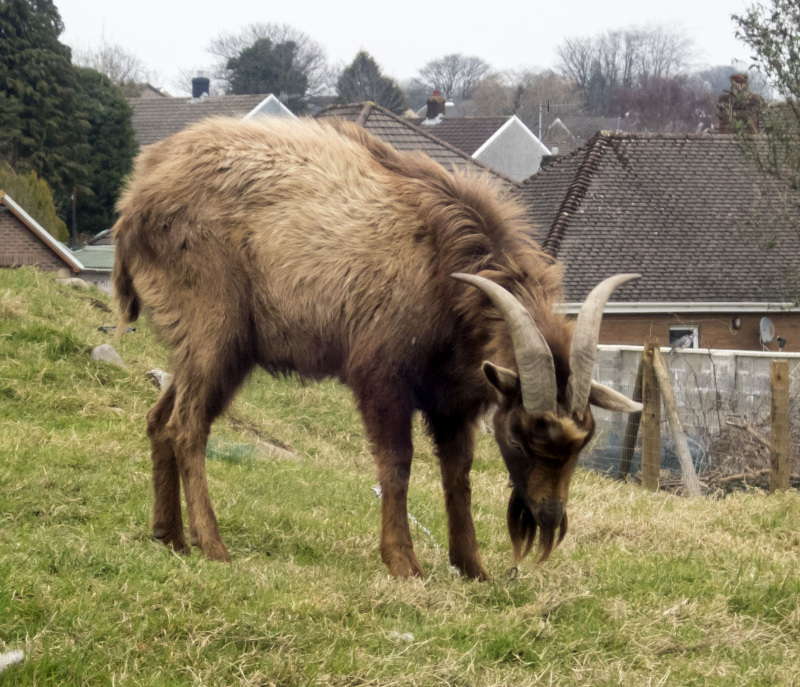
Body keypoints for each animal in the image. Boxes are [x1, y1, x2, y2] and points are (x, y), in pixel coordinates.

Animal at [112, 115, 640, 576]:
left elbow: (458, 473)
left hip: (201, 348)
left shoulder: (452, 400)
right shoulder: (382, 377)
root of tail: (135, 199)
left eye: (583, 441)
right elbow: (398, 464)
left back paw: (170, 536)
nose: (548, 519)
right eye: (521, 434)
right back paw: (213, 545)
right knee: (186, 426)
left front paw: (472, 568)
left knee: (159, 419)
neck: (442, 265)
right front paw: (403, 562)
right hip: (215, 334)